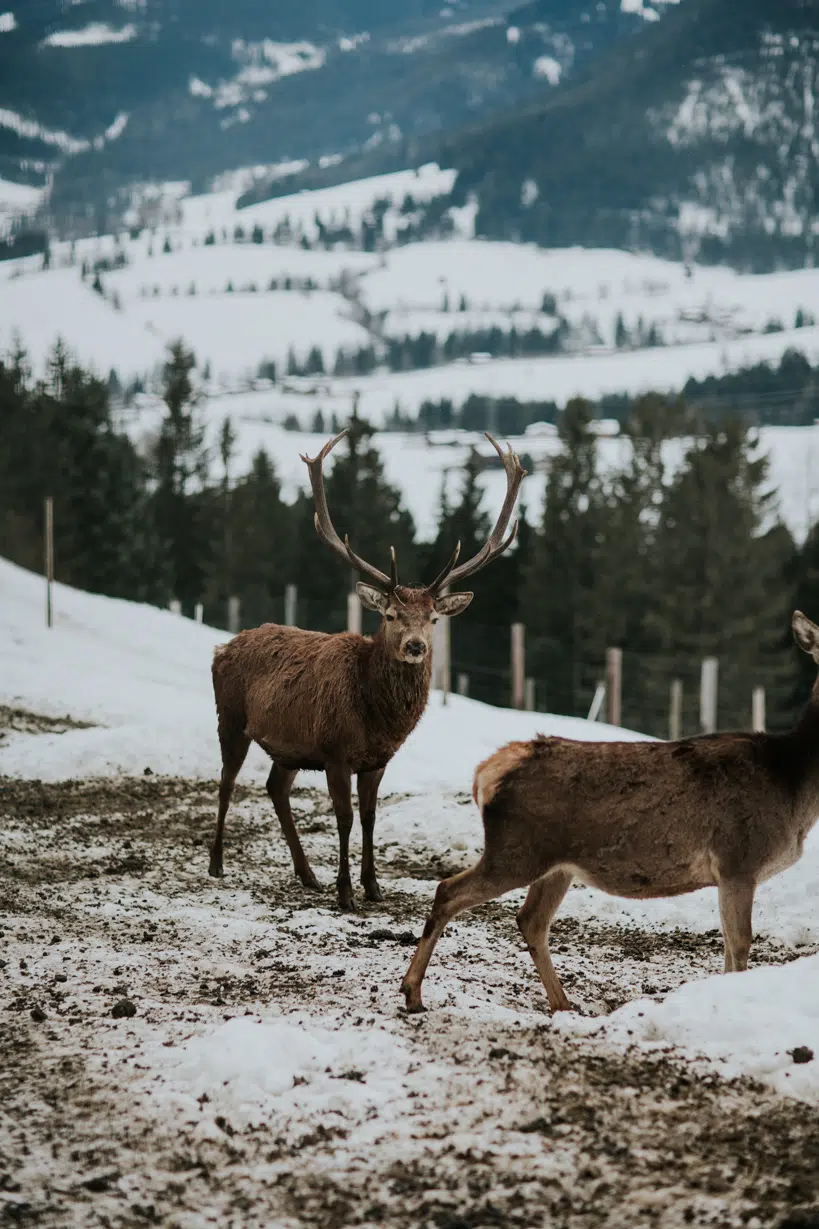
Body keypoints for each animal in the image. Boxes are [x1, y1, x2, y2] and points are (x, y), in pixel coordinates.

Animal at [204, 427, 523, 909]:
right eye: (389, 615)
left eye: (434, 618)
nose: (415, 646)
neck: (375, 717)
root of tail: (223, 647)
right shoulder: (335, 751)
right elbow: (345, 817)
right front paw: (345, 893)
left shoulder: (377, 761)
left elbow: (371, 817)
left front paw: (373, 886)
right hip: (231, 717)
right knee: (226, 781)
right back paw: (217, 864)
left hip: (290, 746)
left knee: (275, 788)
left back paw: (306, 874)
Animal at [398, 609, 816, 1012]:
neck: (795, 790)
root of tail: (486, 772)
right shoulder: (738, 861)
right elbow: (739, 944)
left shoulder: (733, 871)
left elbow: (730, 946)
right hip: (516, 850)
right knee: (449, 890)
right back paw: (413, 992)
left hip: (555, 866)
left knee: (531, 920)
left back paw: (563, 1004)